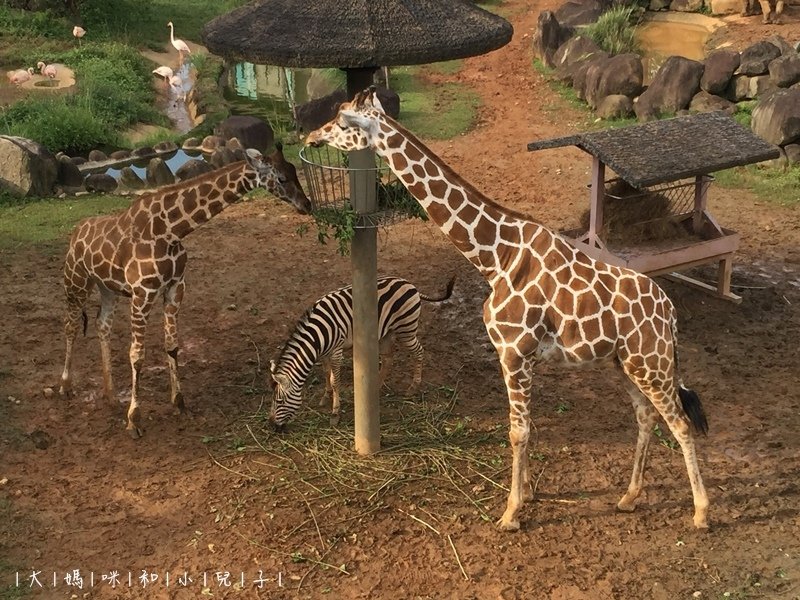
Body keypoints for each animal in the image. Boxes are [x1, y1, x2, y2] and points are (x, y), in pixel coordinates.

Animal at [57, 145, 310, 436]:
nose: (307, 205)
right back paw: (65, 386)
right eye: (281, 178)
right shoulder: (142, 292)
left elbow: (172, 346)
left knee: (102, 325)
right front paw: (134, 419)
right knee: (70, 326)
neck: (171, 231)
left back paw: (110, 395)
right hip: (76, 281)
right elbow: (137, 355)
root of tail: (76, 232)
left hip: (106, 287)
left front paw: (178, 403)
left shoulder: (175, 288)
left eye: (294, 171)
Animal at [270, 274, 454, 428]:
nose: (272, 425)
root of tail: (410, 284)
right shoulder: (323, 353)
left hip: (406, 329)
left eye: (279, 401)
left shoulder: (336, 351)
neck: (317, 337)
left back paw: (413, 387)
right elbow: (326, 372)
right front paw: (325, 396)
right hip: (386, 333)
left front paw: (335, 413)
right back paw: (376, 387)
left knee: (418, 352)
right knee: (388, 359)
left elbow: (335, 380)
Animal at [304, 88, 708, 528]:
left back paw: (701, 512)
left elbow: (518, 431)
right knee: (646, 416)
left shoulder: (514, 352)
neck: (495, 258)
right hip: (627, 363)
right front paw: (528, 493)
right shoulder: (518, 355)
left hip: (651, 363)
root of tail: (669, 312)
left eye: (342, 121)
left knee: (681, 423)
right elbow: (524, 427)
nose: (310, 137)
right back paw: (630, 497)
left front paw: (511, 512)